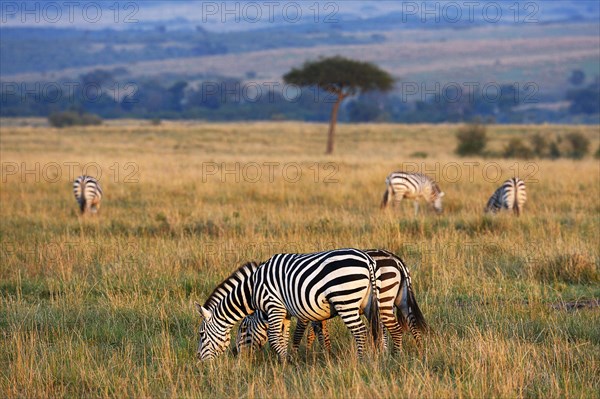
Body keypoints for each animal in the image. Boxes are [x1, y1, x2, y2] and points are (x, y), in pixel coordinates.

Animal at [195, 248, 382, 360]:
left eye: (201, 334)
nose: (198, 358)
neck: (253, 289)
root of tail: (367, 259)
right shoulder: (284, 312)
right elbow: (283, 338)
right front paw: (285, 363)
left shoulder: (274, 306)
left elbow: (274, 339)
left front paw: (289, 361)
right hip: (368, 304)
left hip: (346, 300)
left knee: (360, 331)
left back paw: (360, 361)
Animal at [234, 250, 426, 356]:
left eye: (243, 329)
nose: (235, 354)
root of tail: (397, 260)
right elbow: (319, 332)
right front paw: (322, 353)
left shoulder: (305, 310)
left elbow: (301, 333)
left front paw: (299, 354)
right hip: (400, 299)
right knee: (411, 323)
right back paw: (418, 351)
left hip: (383, 300)